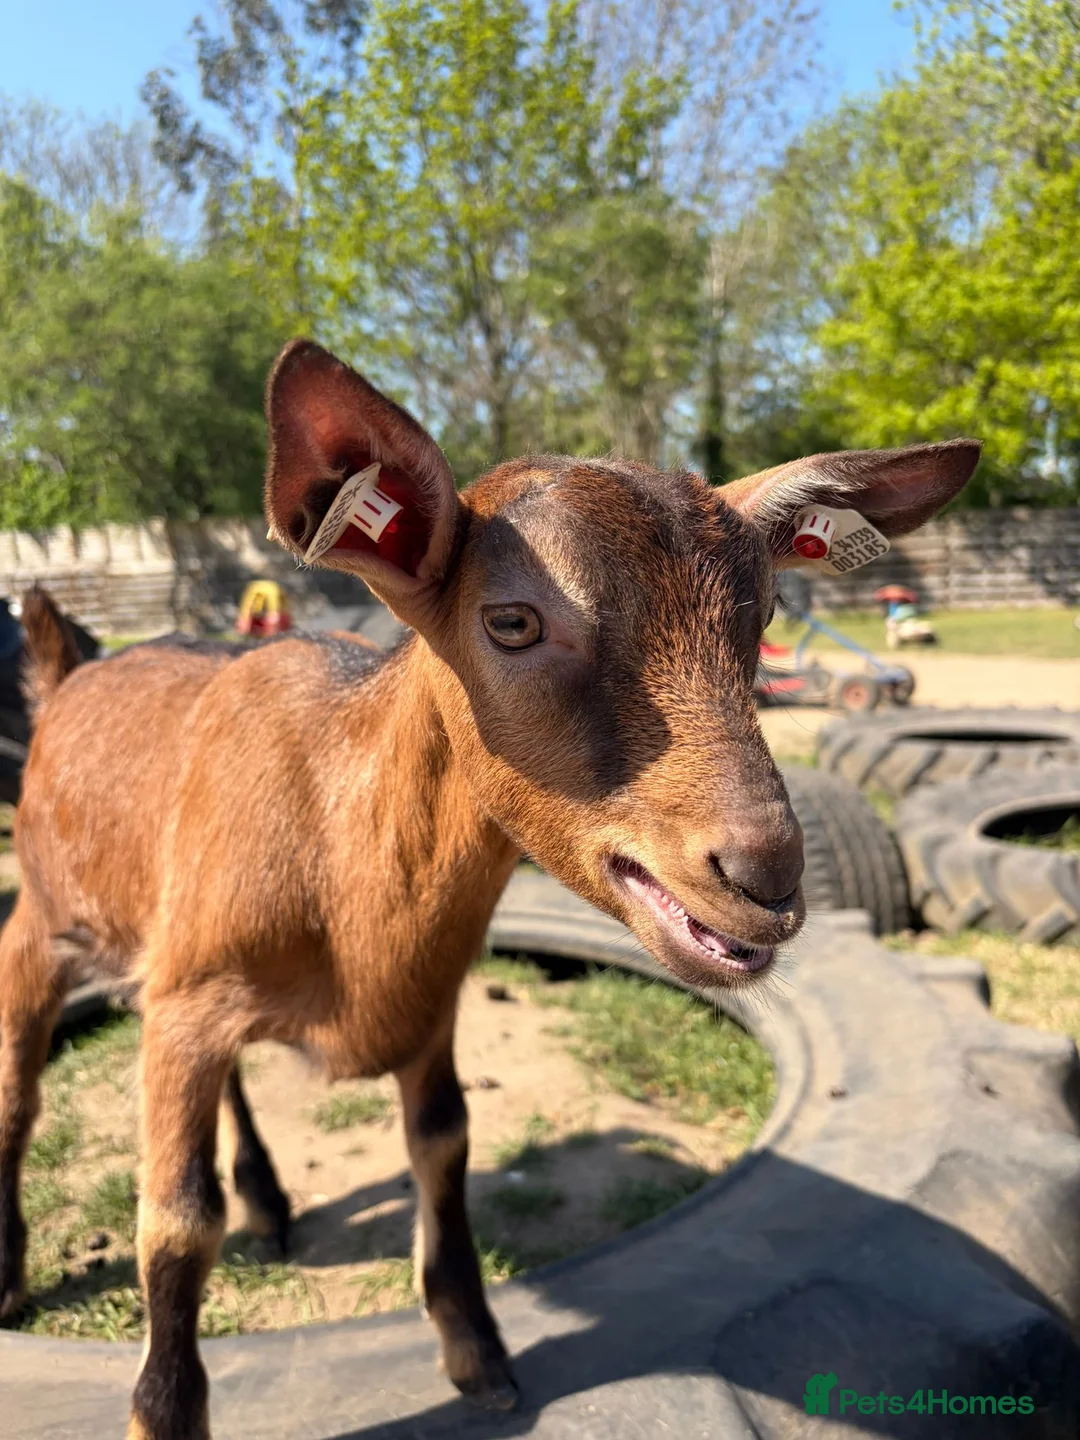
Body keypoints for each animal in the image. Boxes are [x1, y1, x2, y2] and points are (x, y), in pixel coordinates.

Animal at [0, 338, 978, 1438]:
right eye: (510, 620)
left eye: (763, 612)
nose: (764, 871)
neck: (339, 854)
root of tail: (67, 672)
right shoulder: (188, 1009)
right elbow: (174, 1221)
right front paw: (162, 1411)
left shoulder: (421, 1002)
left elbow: (446, 1147)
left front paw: (478, 1350)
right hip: (43, 928)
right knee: (22, 1086)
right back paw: (14, 1268)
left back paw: (270, 1198)